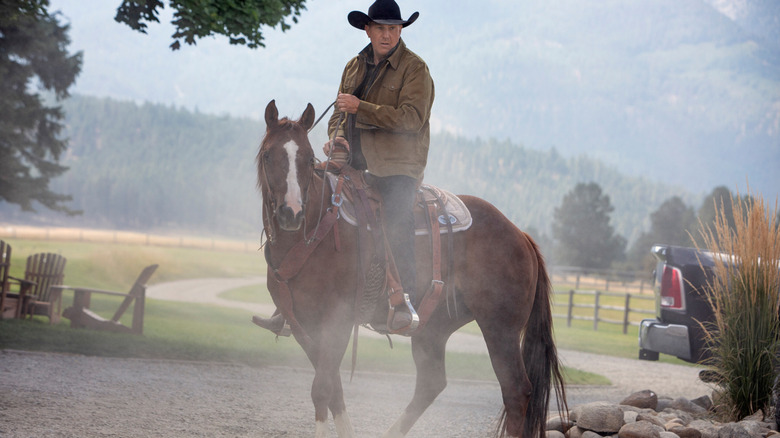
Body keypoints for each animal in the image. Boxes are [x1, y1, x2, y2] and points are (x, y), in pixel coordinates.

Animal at [256, 100, 568, 438]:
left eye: (307, 157)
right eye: (268, 155)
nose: (291, 213)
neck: (317, 230)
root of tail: (520, 235)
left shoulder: (338, 320)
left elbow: (323, 388)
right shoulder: (303, 322)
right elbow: (334, 388)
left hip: (501, 329)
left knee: (516, 391)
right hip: (435, 327)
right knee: (431, 383)